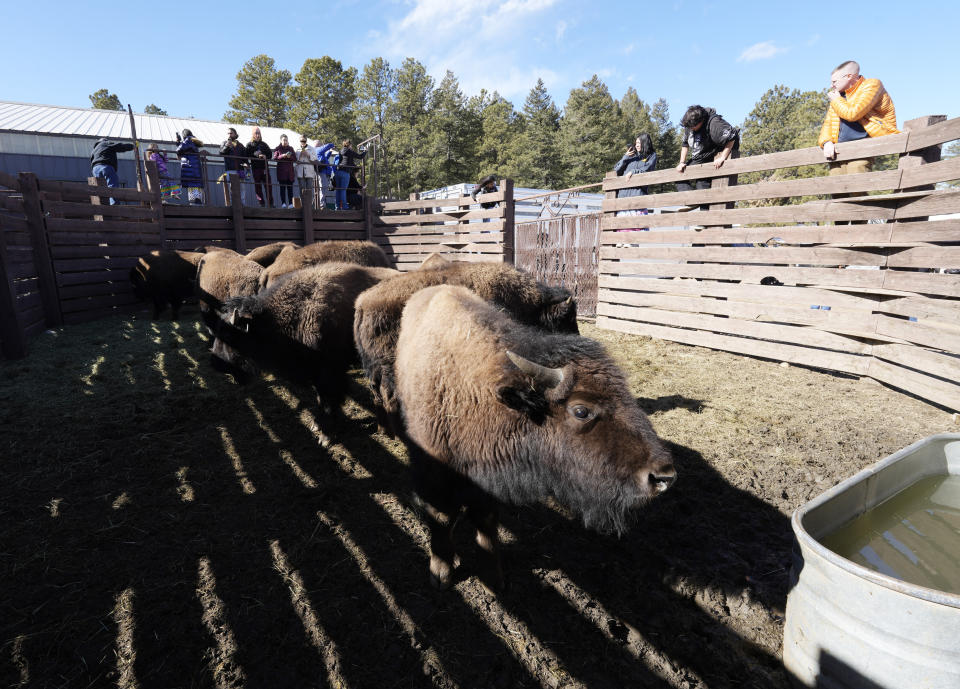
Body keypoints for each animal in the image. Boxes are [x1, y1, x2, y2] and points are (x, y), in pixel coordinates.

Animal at [213, 260, 398, 438]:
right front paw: (317, 425)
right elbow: (321, 397)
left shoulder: (329, 372)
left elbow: (329, 398)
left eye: (228, 335)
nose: (216, 364)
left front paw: (325, 434)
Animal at [352, 260, 576, 438]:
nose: (575, 336)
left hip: (374, 368)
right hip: (389, 367)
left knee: (376, 393)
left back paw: (385, 431)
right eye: (565, 320)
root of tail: (362, 303)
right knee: (389, 396)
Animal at [392, 284, 676, 592]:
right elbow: (442, 518)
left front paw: (494, 579)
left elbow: (485, 523)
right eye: (581, 410)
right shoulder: (433, 474)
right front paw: (441, 574)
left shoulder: (487, 481)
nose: (663, 476)